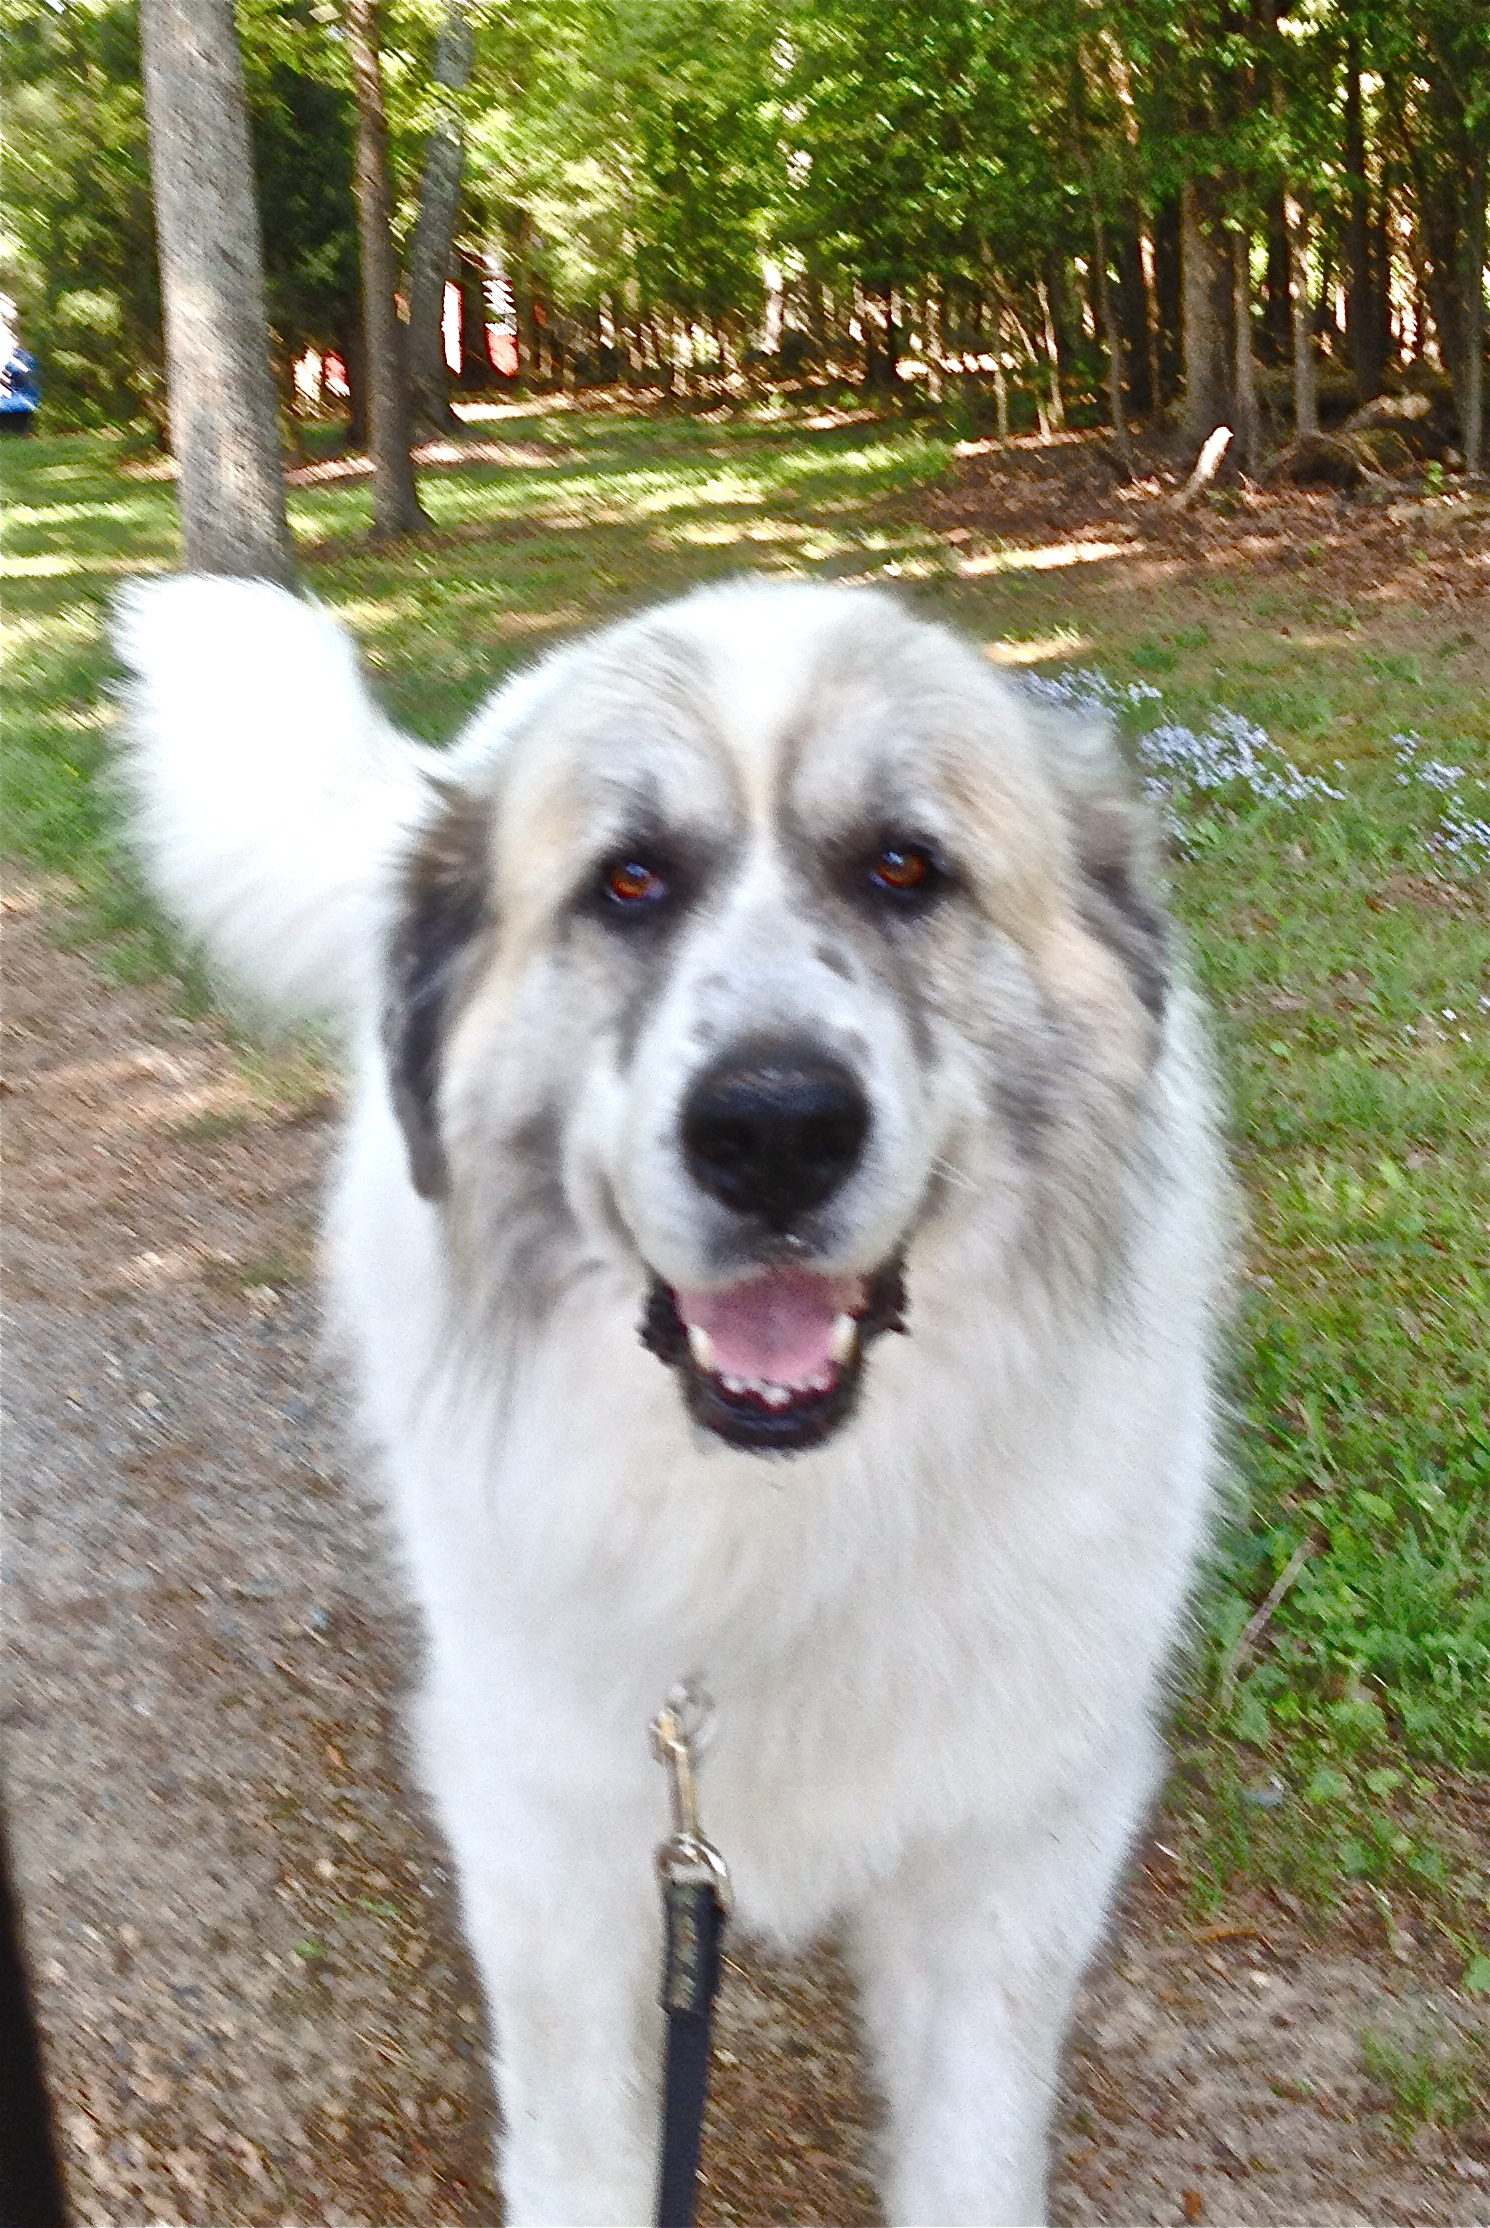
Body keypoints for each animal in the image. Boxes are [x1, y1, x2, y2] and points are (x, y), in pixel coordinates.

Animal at [116, 579, 1220, 2228]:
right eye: (628, 883)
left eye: (904, 866)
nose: (772, 1129)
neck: (777, 1512)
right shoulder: (556, 1850)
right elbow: (581, 2145)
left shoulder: (1009, 1849)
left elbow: (968, 2148)